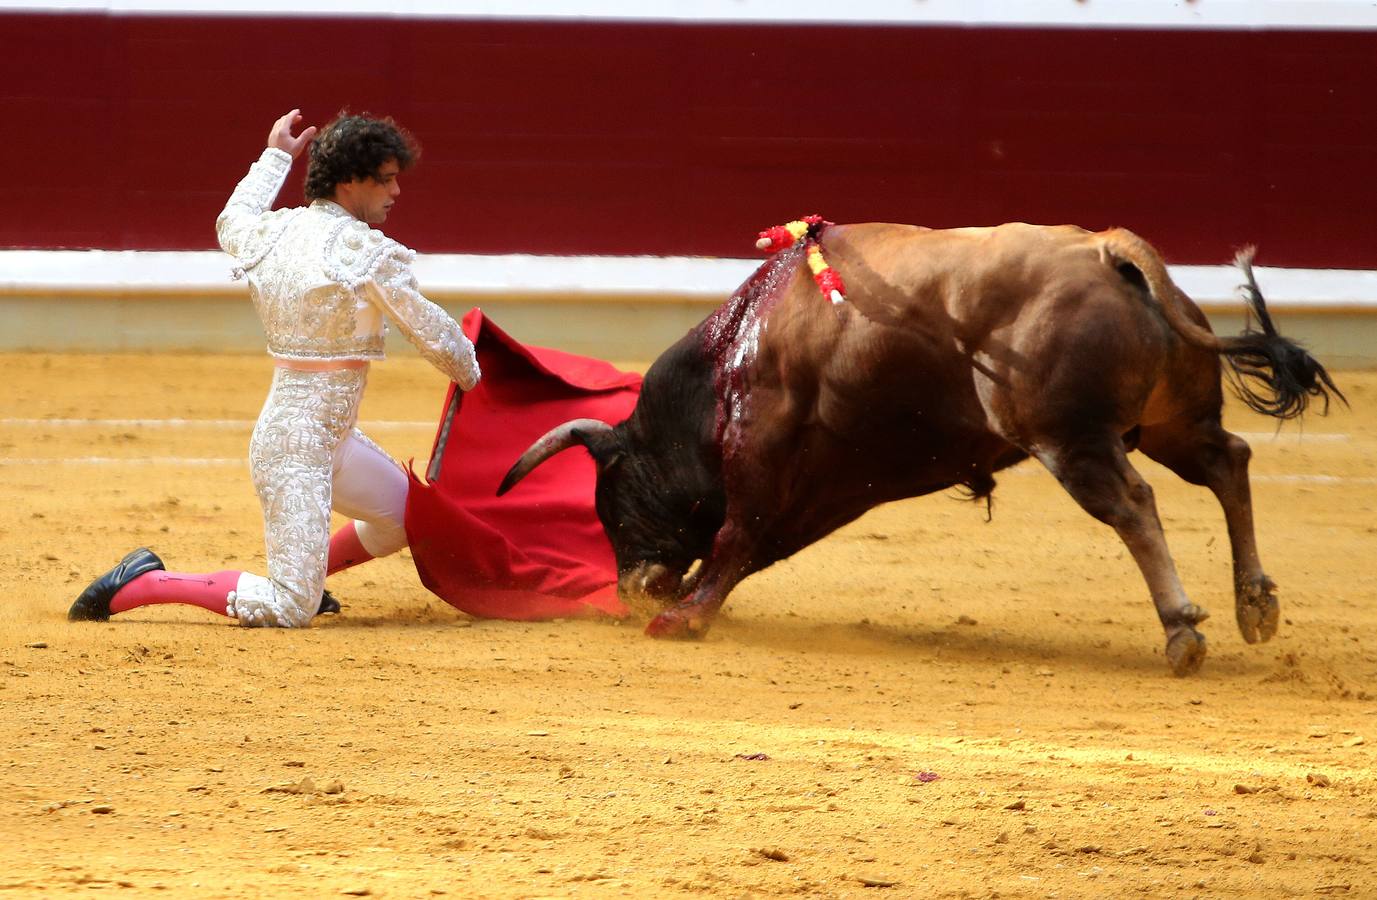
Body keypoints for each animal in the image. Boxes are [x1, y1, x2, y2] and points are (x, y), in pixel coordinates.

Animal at [501, 224, 1338, 677]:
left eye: (613, 499)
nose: (634, 589)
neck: (729, 360)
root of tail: (1109, 251)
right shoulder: (828, 483)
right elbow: (754, 543)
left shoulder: (765, 447)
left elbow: (738, 533)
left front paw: (683, 619)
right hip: (1166, 425)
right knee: (1228, 461)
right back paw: (1253, 604)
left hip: (1071, 439)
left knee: (1134, 506)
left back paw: (1182, 630)